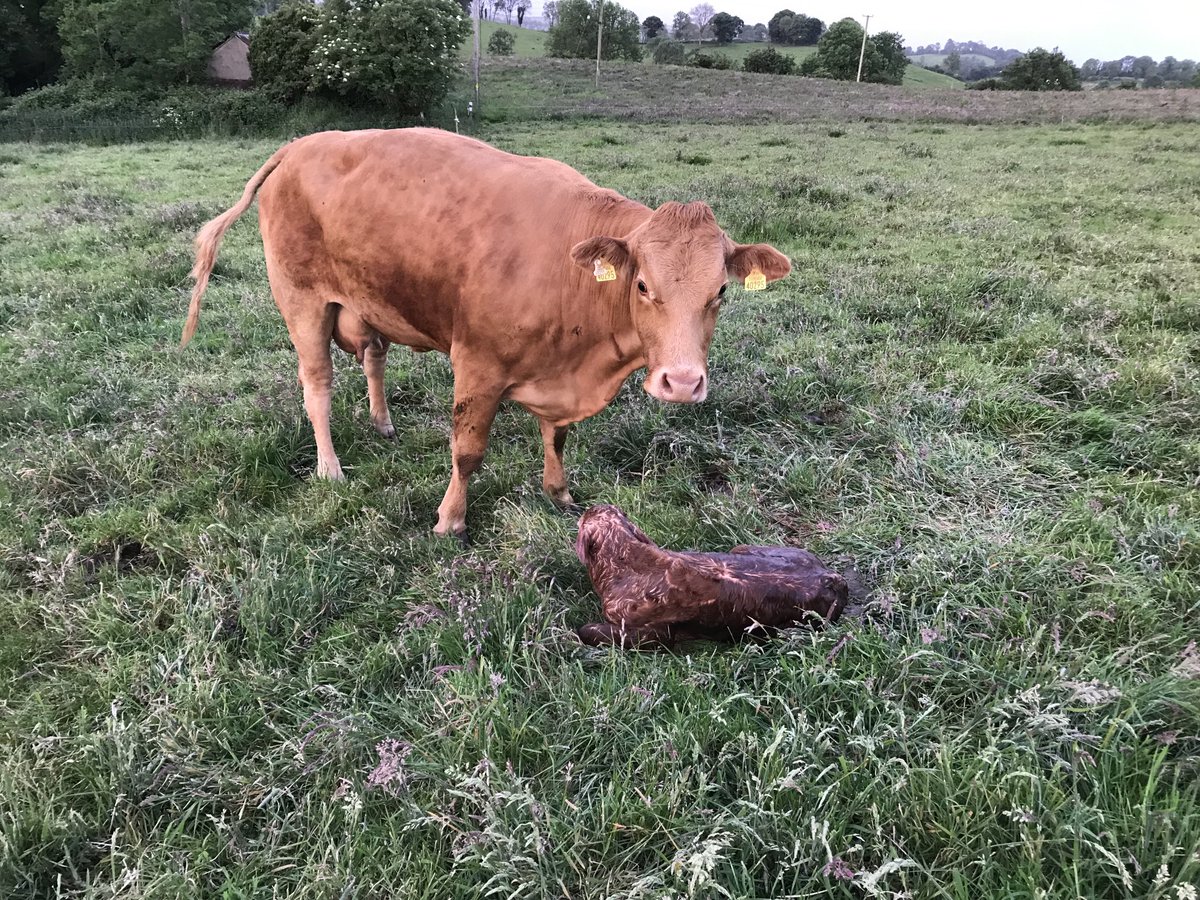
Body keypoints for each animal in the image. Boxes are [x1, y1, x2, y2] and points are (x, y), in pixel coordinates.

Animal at [182, 128, 791, 537]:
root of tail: (299, 145)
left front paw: (559, 492)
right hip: (302, 301)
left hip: (370, 301)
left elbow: (556, 437)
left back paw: (382, 422)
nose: (682, 383)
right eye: (642, 285)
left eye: (721, 291)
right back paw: (330, 469)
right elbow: (467, 452)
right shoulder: (477, 364)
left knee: (374, 357)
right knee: (317, 386)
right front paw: (450, 520)